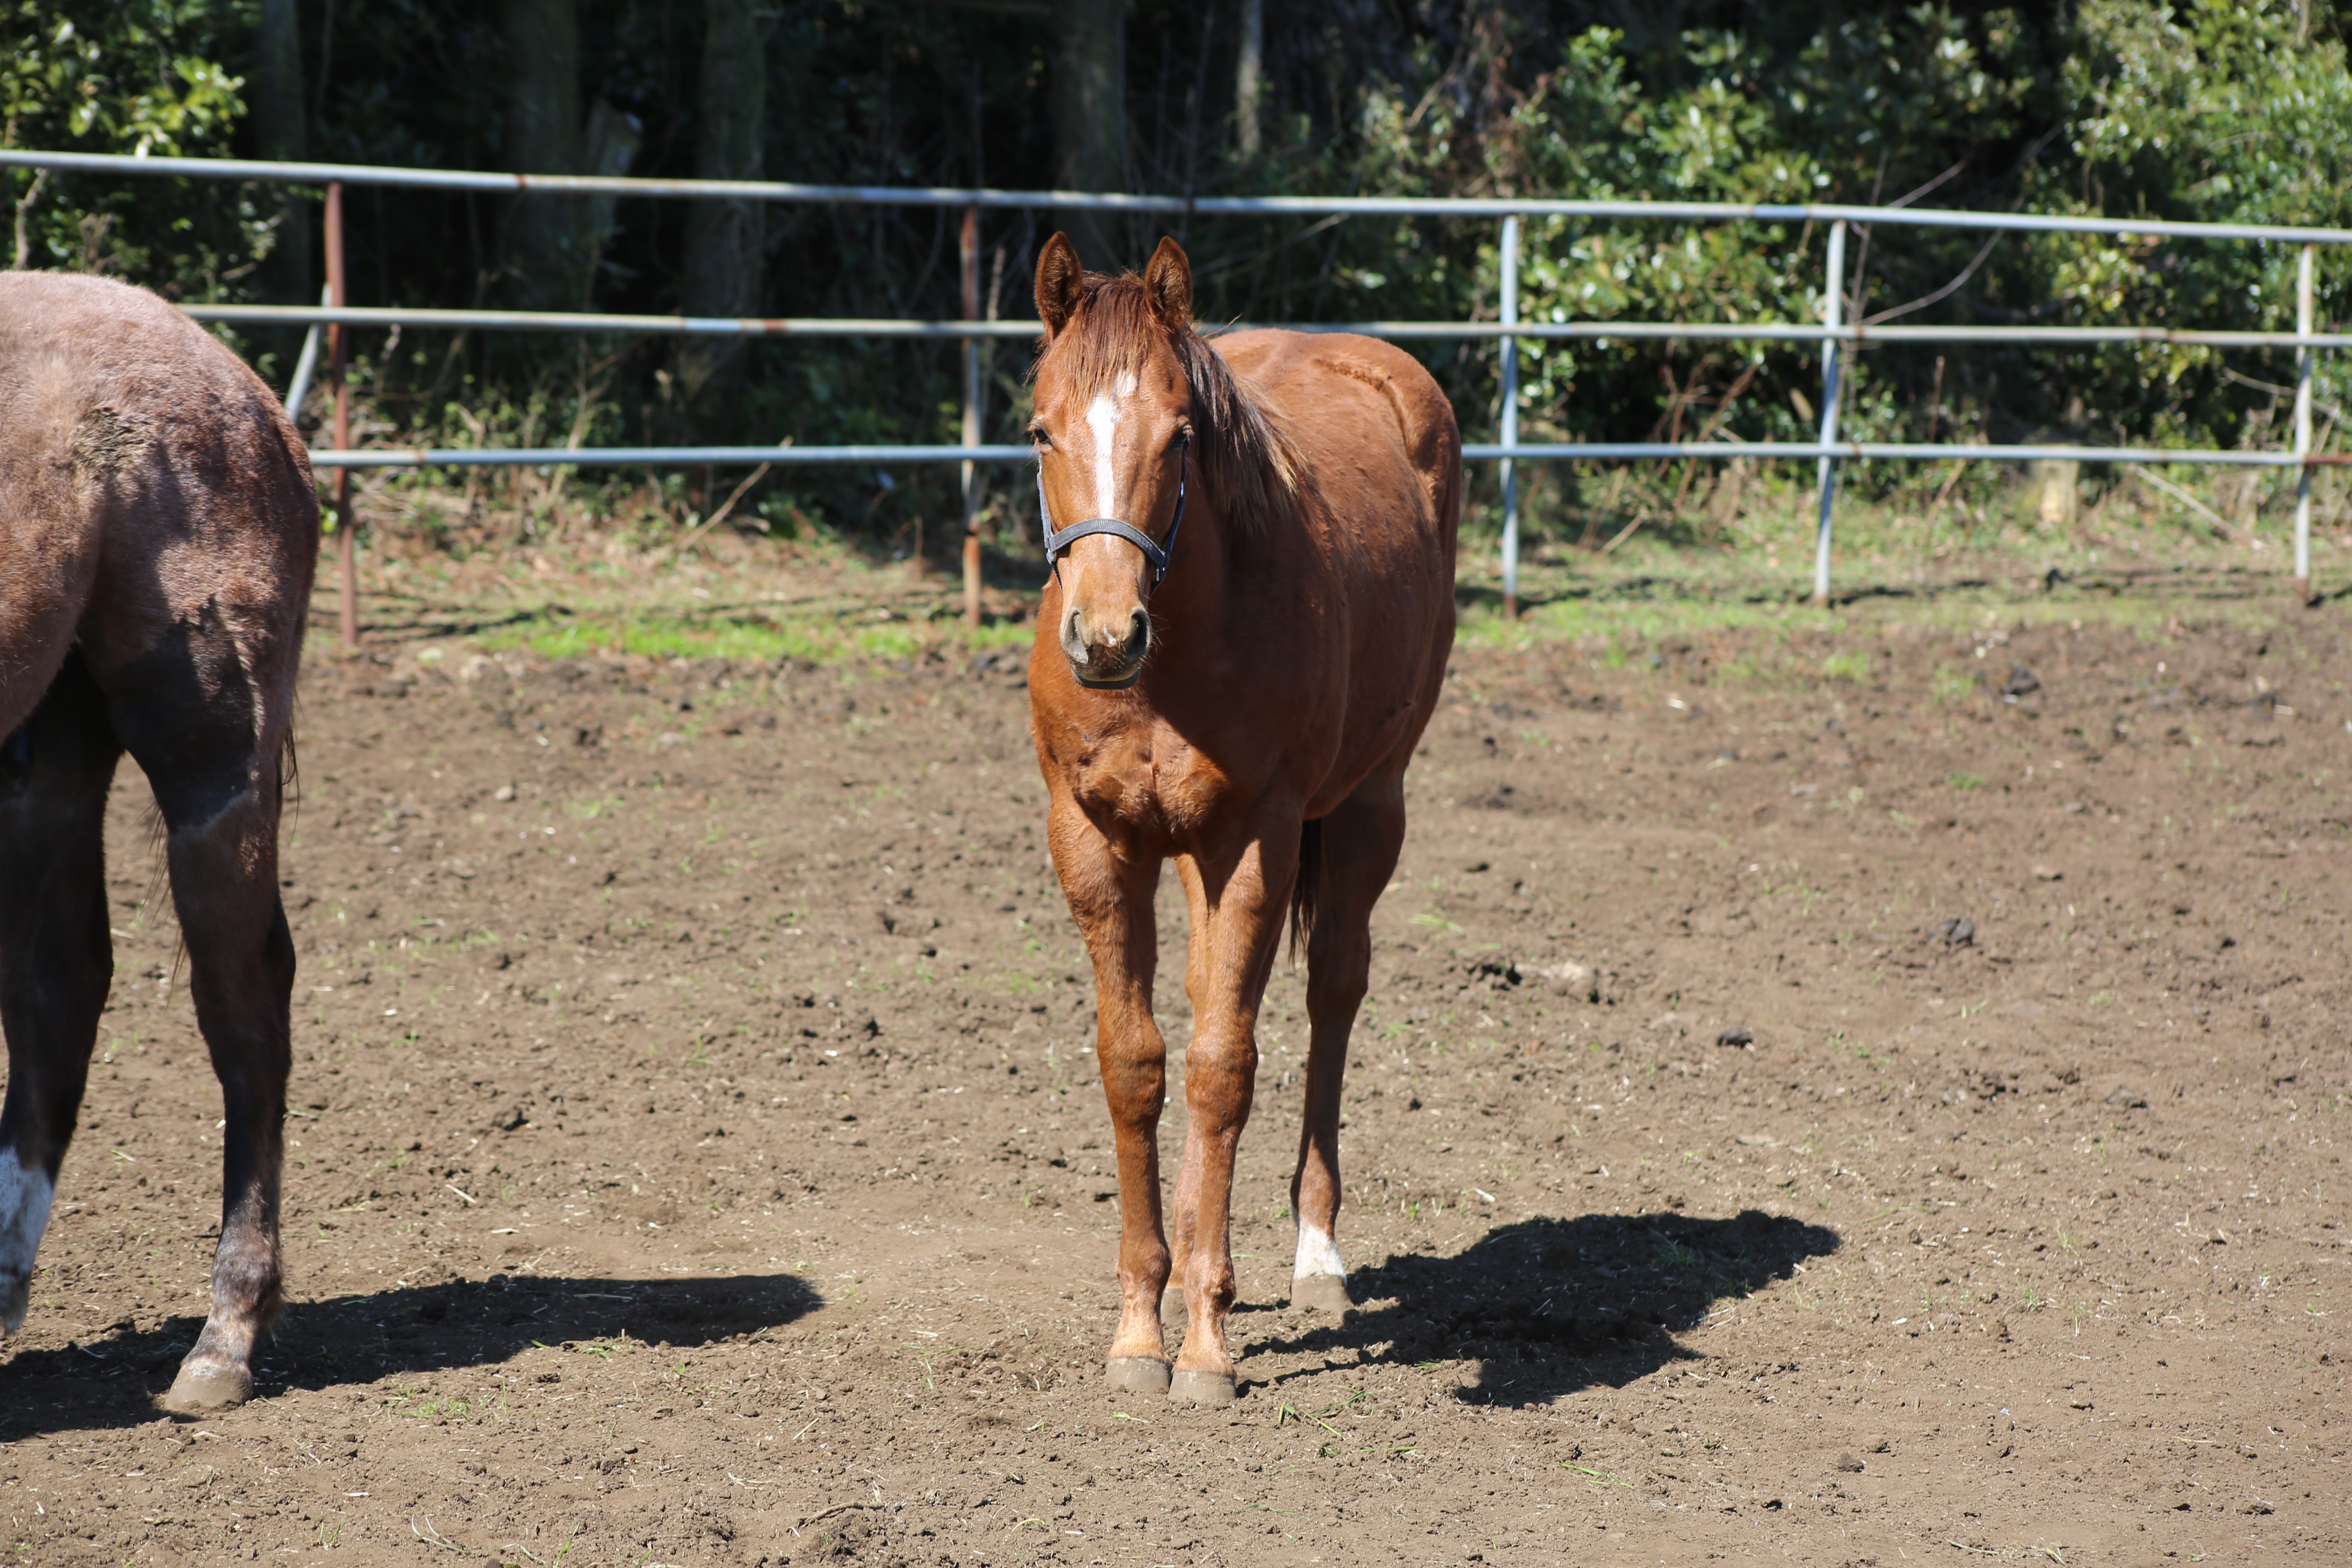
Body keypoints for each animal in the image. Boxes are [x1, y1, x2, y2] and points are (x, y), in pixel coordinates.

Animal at [1025, 230, 1449, 1401]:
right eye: (1039, 428)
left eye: (1180, 435)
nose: (1105, 635)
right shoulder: (1095, 841)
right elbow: (1135, 1063)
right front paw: (1142, 1327)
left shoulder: (1259, 837)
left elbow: (1223, 1068)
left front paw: (1205, 1348)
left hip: (1370, 805)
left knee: (1332, 995)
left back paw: (1315, 1257)